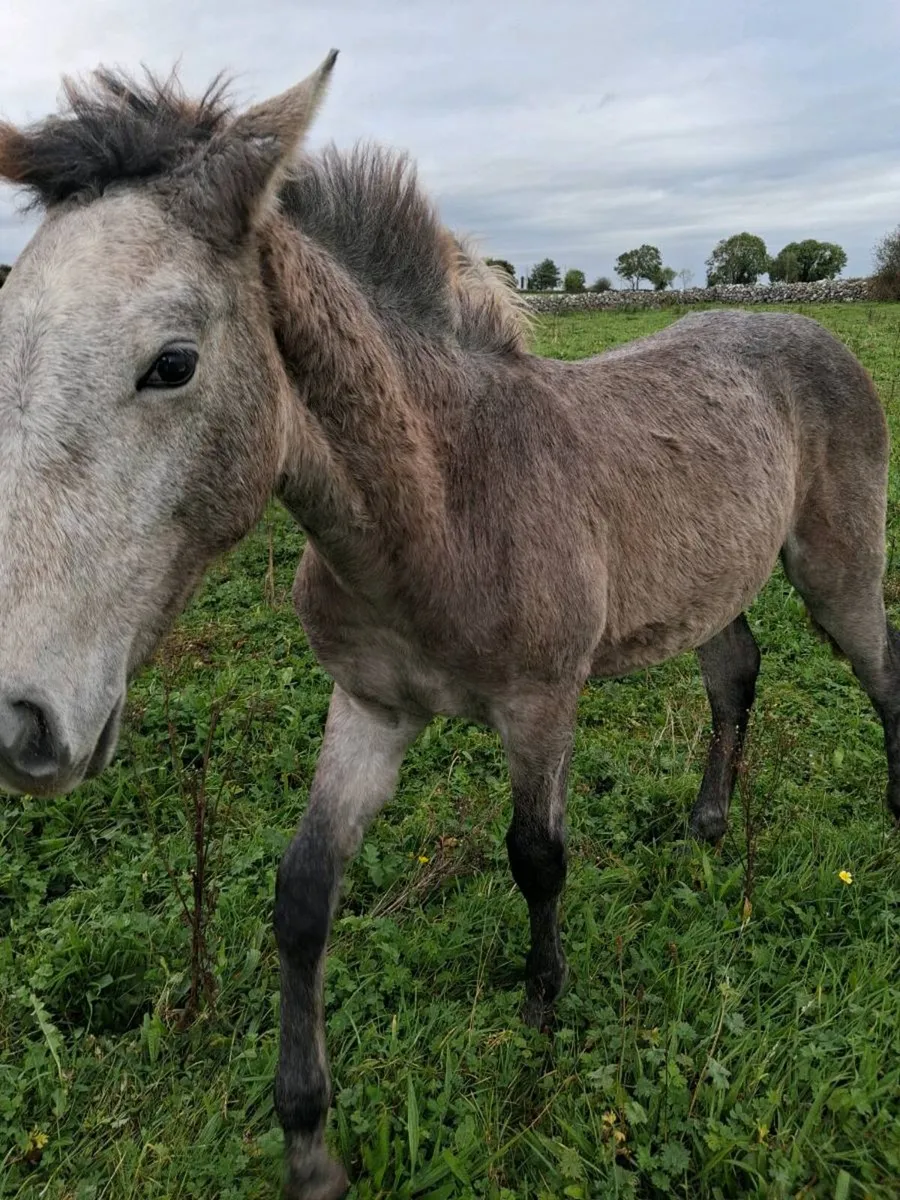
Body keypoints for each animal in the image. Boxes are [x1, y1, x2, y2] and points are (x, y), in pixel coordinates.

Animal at [0, 52, 897, 1199]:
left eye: (172, 362)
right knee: (735, 671)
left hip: (838, 569)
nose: (21, 721)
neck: (440, 508)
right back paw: (707, 825)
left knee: (880, 672)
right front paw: (308, 1141)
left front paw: (543, 1007)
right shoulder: (370, 707)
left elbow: (537, 856)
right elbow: (303, 895)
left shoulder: (542, 703)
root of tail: (813, 327)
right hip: (713, 580)